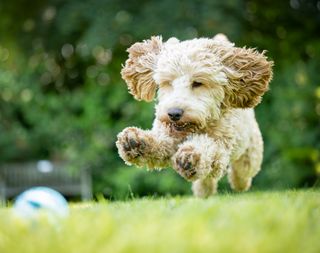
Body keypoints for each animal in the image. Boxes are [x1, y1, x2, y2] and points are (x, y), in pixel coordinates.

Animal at [115, 33, 272, 197]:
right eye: (168, 82)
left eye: (197, 83)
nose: (174, 113)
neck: (194, 128)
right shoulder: (168, 135)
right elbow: (160, 142)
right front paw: (136, 142)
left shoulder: (221, 148)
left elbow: (208, 148)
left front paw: (190, 157)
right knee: (207, 179)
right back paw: (203, 191)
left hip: (250, 152)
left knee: (242, 171)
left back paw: (239, 183)